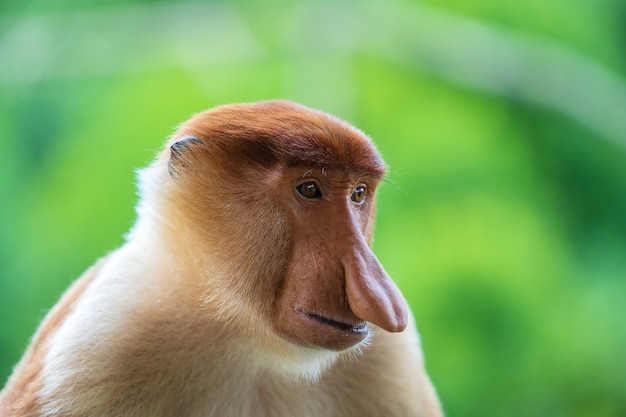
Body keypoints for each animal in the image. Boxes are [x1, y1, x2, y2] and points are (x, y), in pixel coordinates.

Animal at [0, 101, 442, 416]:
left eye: (358, 194)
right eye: (309, 189)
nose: (381, 297)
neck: (244, 337)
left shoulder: (388, 358)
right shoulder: (100, 346)